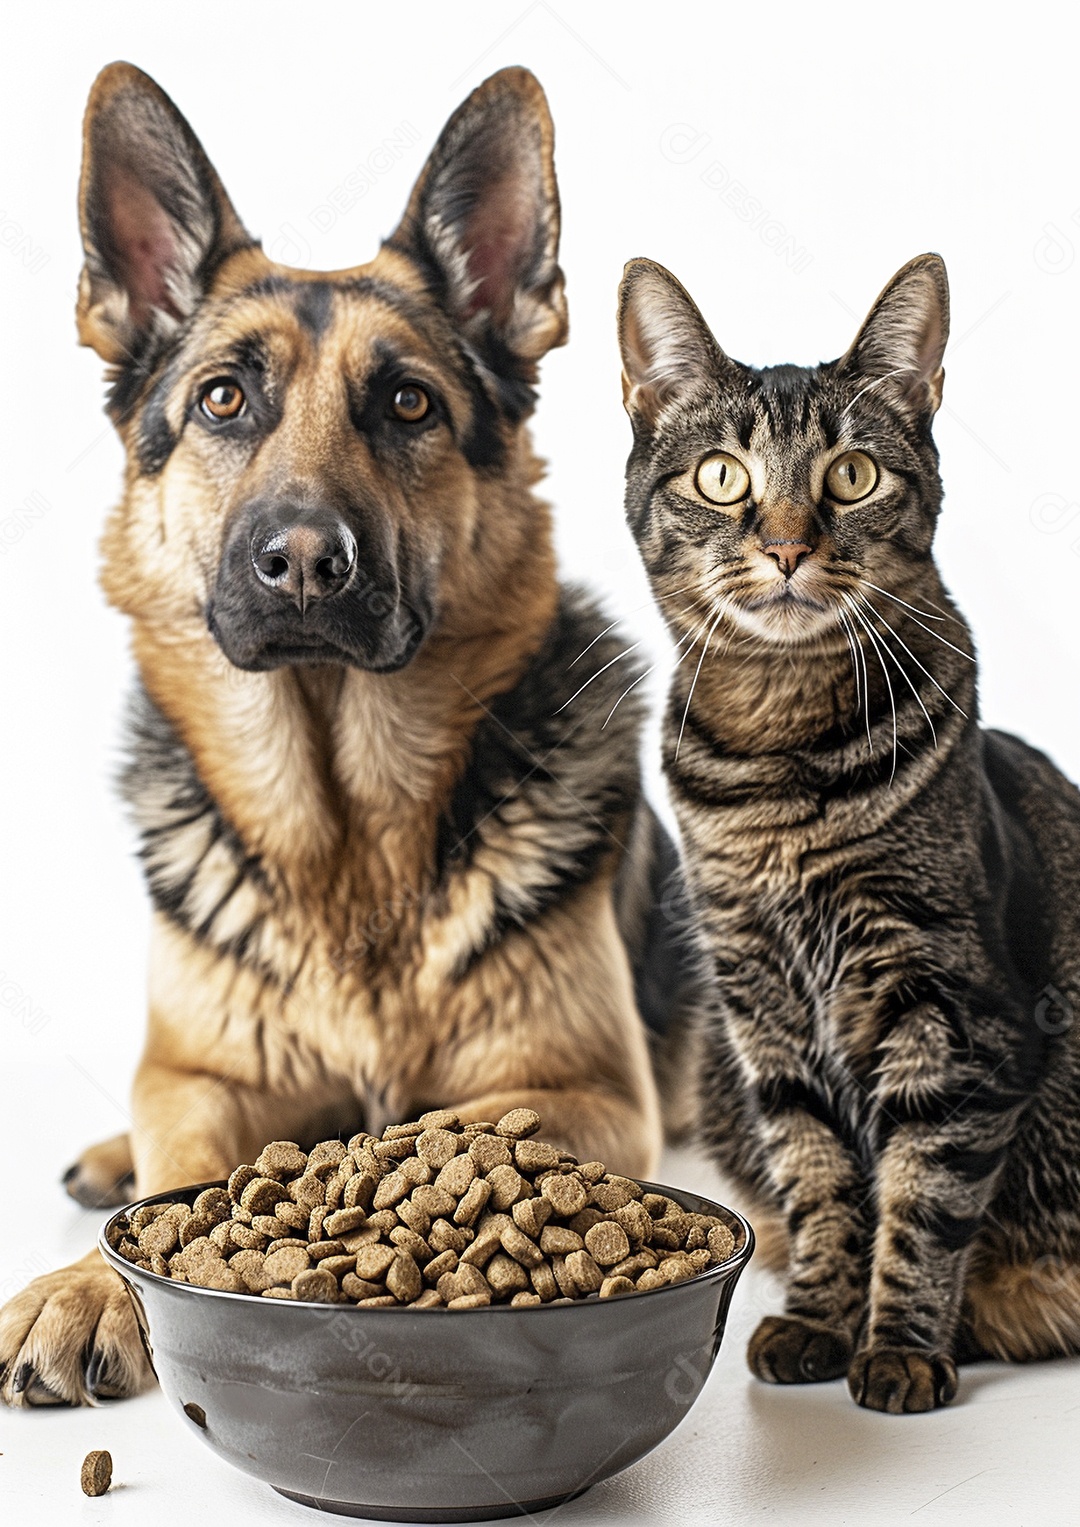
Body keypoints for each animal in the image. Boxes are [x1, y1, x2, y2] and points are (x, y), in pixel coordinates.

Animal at [0, 68, 696, 1404]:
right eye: (224, 398)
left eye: (408, 402)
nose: (308, 563)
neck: (347, 839)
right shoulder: (206, 1079)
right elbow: (182, 1173)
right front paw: (81, 1284)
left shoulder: (575, 1089)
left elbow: (437, 1127)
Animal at [617, 250, 1080, 1404]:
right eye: (723, 476)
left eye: (854, 476)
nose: (787, 546)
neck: (779, 756)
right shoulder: (761, 1008)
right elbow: (820, 1177)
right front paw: (824, 1318)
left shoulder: (953, 1011)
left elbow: (923, 1195)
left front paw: (904, 1348)